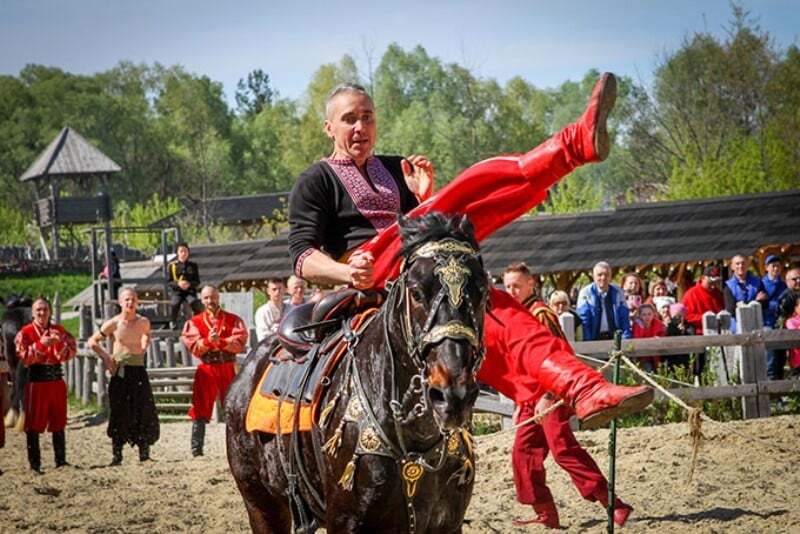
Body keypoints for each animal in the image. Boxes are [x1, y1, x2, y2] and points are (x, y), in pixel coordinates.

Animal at [225, 215, 488, 534]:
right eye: (415, 293)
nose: (452, 395)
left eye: (482, 292)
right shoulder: (346, 521)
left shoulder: (447, 524)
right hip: (262, 507)